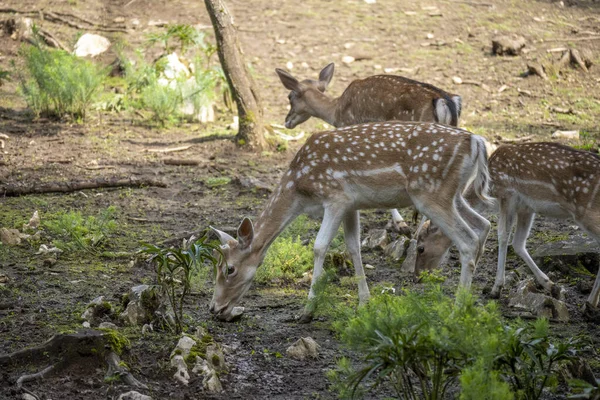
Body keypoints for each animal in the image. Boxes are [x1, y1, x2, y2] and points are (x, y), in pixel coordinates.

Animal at [209, 122, 490, 322]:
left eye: (229, 269)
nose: (214, 307)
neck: (299, 189)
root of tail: (475, 141)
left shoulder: (336, 197)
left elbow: (319, 247)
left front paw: (307, 310)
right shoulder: (351, 205)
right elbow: (353, 247)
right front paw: (365, 301)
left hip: (430, 192)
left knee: (468, 240)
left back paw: (457, 310)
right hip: (453, 194)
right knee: (483, 224)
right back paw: (474, 301)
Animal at [414, 142, 600, 310]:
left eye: (420, 248)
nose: (417, 277)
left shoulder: (507, 195)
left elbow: (503, 236)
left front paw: (496, 289)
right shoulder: (527, 207)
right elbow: (518, 244)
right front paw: (551, 285)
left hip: (587, 214)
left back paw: (590, 303)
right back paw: (590, 304)